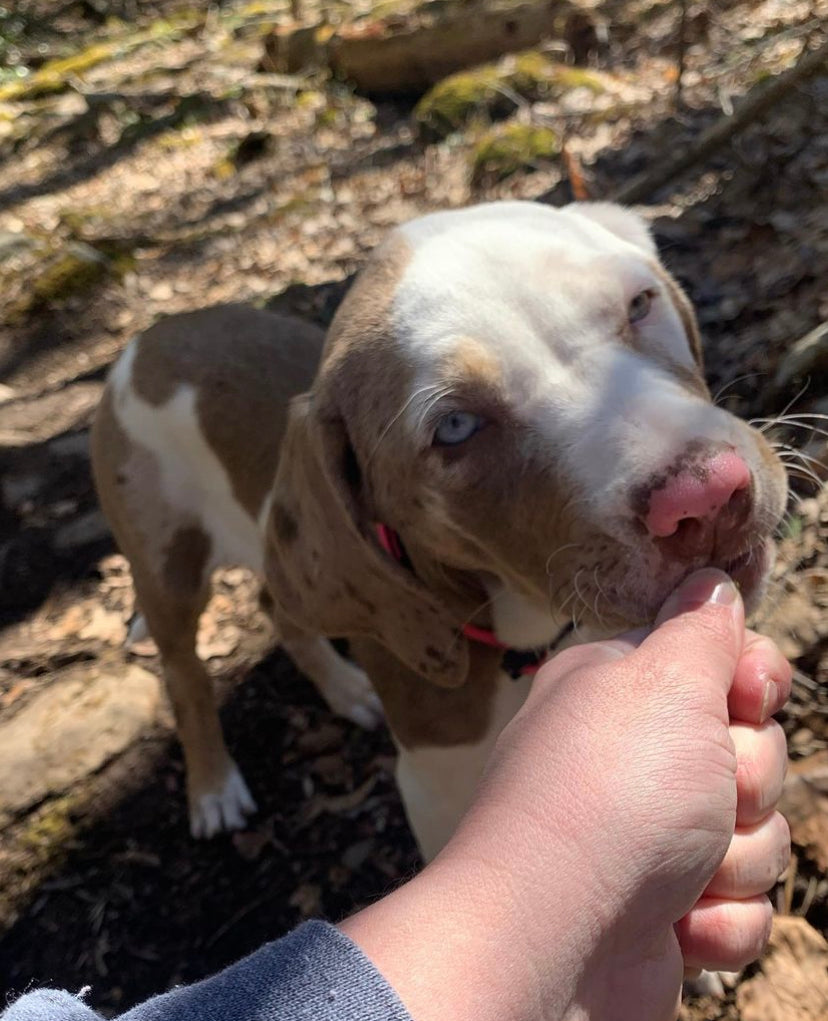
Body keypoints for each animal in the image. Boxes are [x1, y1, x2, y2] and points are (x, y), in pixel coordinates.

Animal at [92, 201, 788, 853]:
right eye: (455, 427)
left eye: (640, 304)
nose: (706, 497)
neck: (531, 637)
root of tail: (147, 339)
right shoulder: (436, 791)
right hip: (166, 566)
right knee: (183, 672)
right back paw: (213, 788)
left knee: (276, 605)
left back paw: (346, 690)